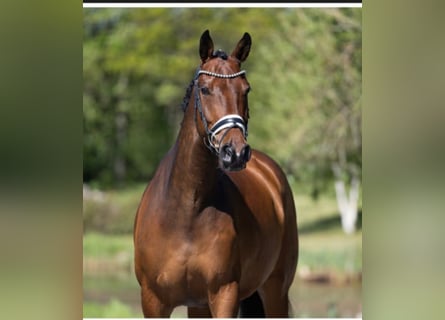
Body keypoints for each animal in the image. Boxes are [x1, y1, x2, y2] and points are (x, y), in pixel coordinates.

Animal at [133, 30, 298, 318]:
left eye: (246, 89)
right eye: (205, 89)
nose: (236, 152)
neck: (187, 211)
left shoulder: (224, 294)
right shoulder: (153, 301)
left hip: (275, 290)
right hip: (199, 305)